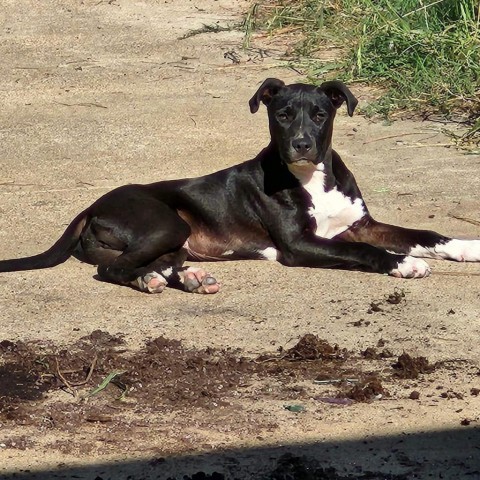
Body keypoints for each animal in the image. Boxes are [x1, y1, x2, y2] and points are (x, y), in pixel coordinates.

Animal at [0, 78, 480, 292]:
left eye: (320, 114)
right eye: (282, 114)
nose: (301, 144)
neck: (313, 178)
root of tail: (92, 206)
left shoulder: (361, 225)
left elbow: (421, 233)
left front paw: (465, 246)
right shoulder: (300, 245)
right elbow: (365, 252)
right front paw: (403, 264)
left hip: (173, 236)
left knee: (154, 261)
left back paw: (187, 276)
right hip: (165, 223)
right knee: (112, 269)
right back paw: (153, 281)